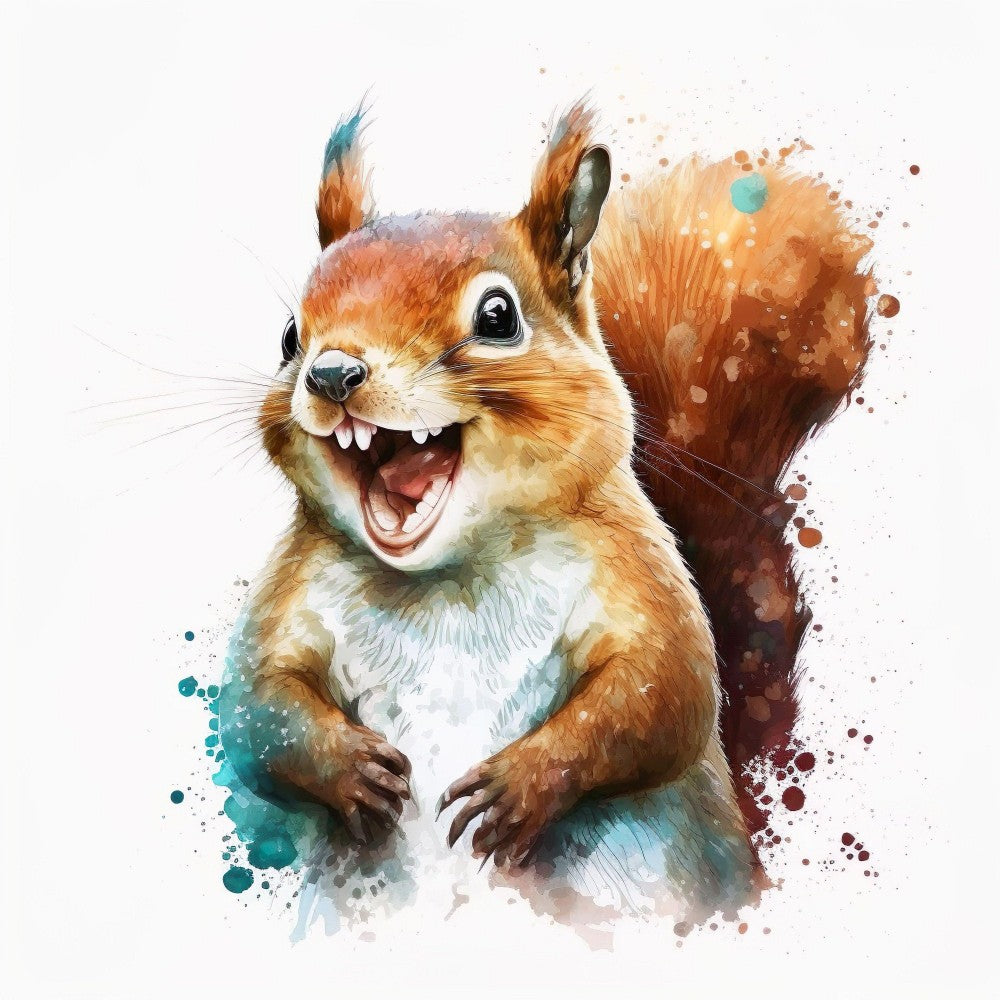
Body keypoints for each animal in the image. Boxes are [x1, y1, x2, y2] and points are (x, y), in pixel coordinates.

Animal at [218, 101, 873, 926]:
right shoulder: (289, 591)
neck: (449, 577)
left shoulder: (640, 577)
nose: (333, 374)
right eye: (288, 337)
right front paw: (351, 770)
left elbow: (663, 696)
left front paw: (520, 787)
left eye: (498, 316)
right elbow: (253, 711)